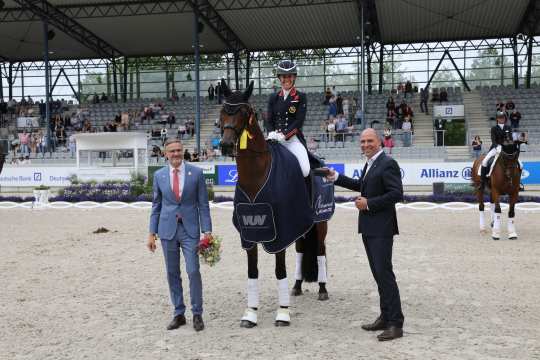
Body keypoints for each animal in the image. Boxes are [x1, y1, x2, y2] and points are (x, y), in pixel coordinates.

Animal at [219, 80, 330, 328]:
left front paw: (283, 314)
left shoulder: (280, 230)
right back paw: (297, 287)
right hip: (301, 225)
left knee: (320, 251)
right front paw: (250, 314)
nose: (225, 144)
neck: (257, 175)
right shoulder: (250, 232)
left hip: (320, 223)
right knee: (301, 251)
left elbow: (280, 270)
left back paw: (322, 289)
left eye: (244, 112)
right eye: (223, 111)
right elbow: (252, 272)